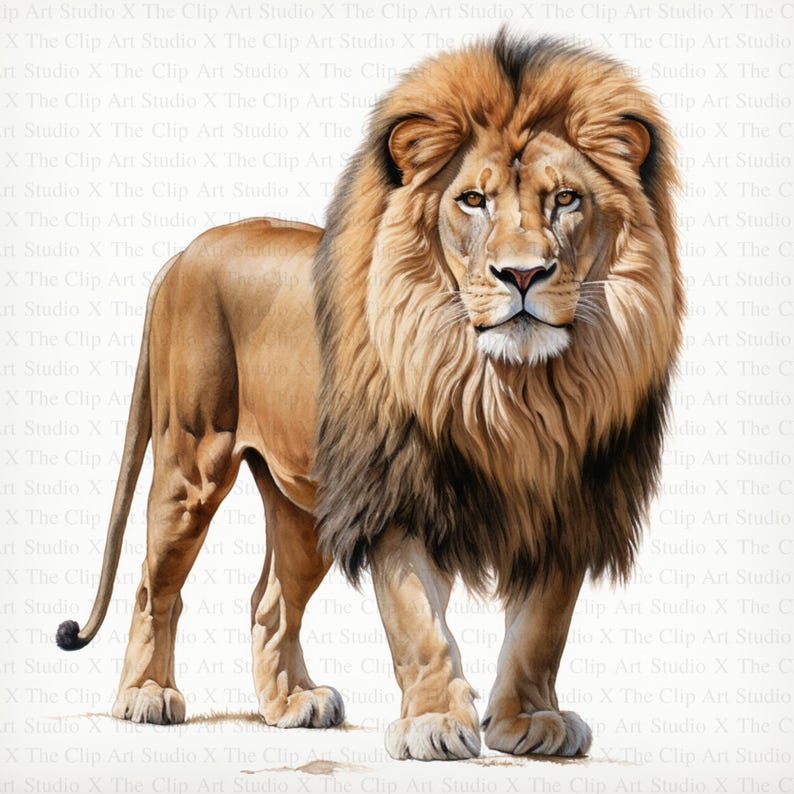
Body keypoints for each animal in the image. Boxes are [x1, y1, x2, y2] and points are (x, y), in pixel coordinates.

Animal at [56, 33, 682, 761]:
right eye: (473, 200)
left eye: (566, 199)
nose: (523, 274)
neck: (512, 390)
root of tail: (186, 251)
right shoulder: (396, 494)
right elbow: (417, 621)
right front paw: (435, 724)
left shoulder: (571, 502)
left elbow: (543, 627)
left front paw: (531, 721)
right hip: (192, 463)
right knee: (155, 585)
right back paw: (146, 695)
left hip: (305, 503)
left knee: (270, 601)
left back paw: (292, 704)